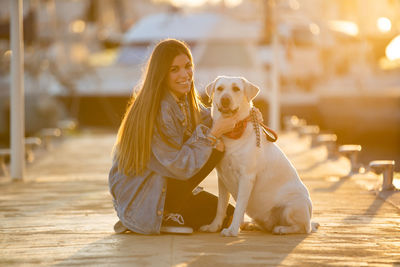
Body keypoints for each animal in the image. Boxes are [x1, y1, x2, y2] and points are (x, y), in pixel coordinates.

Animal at [202, 76, 318, 238]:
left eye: (236, 89)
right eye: (219, 88)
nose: (225, 99)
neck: (233, 132)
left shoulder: (246, 177)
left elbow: (239, 207)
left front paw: (232, 230)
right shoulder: (222, 178)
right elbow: (221, 206)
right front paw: (214, 227)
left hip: (294, 206)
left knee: (303, 228)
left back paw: (282, 229)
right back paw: (251, 225)